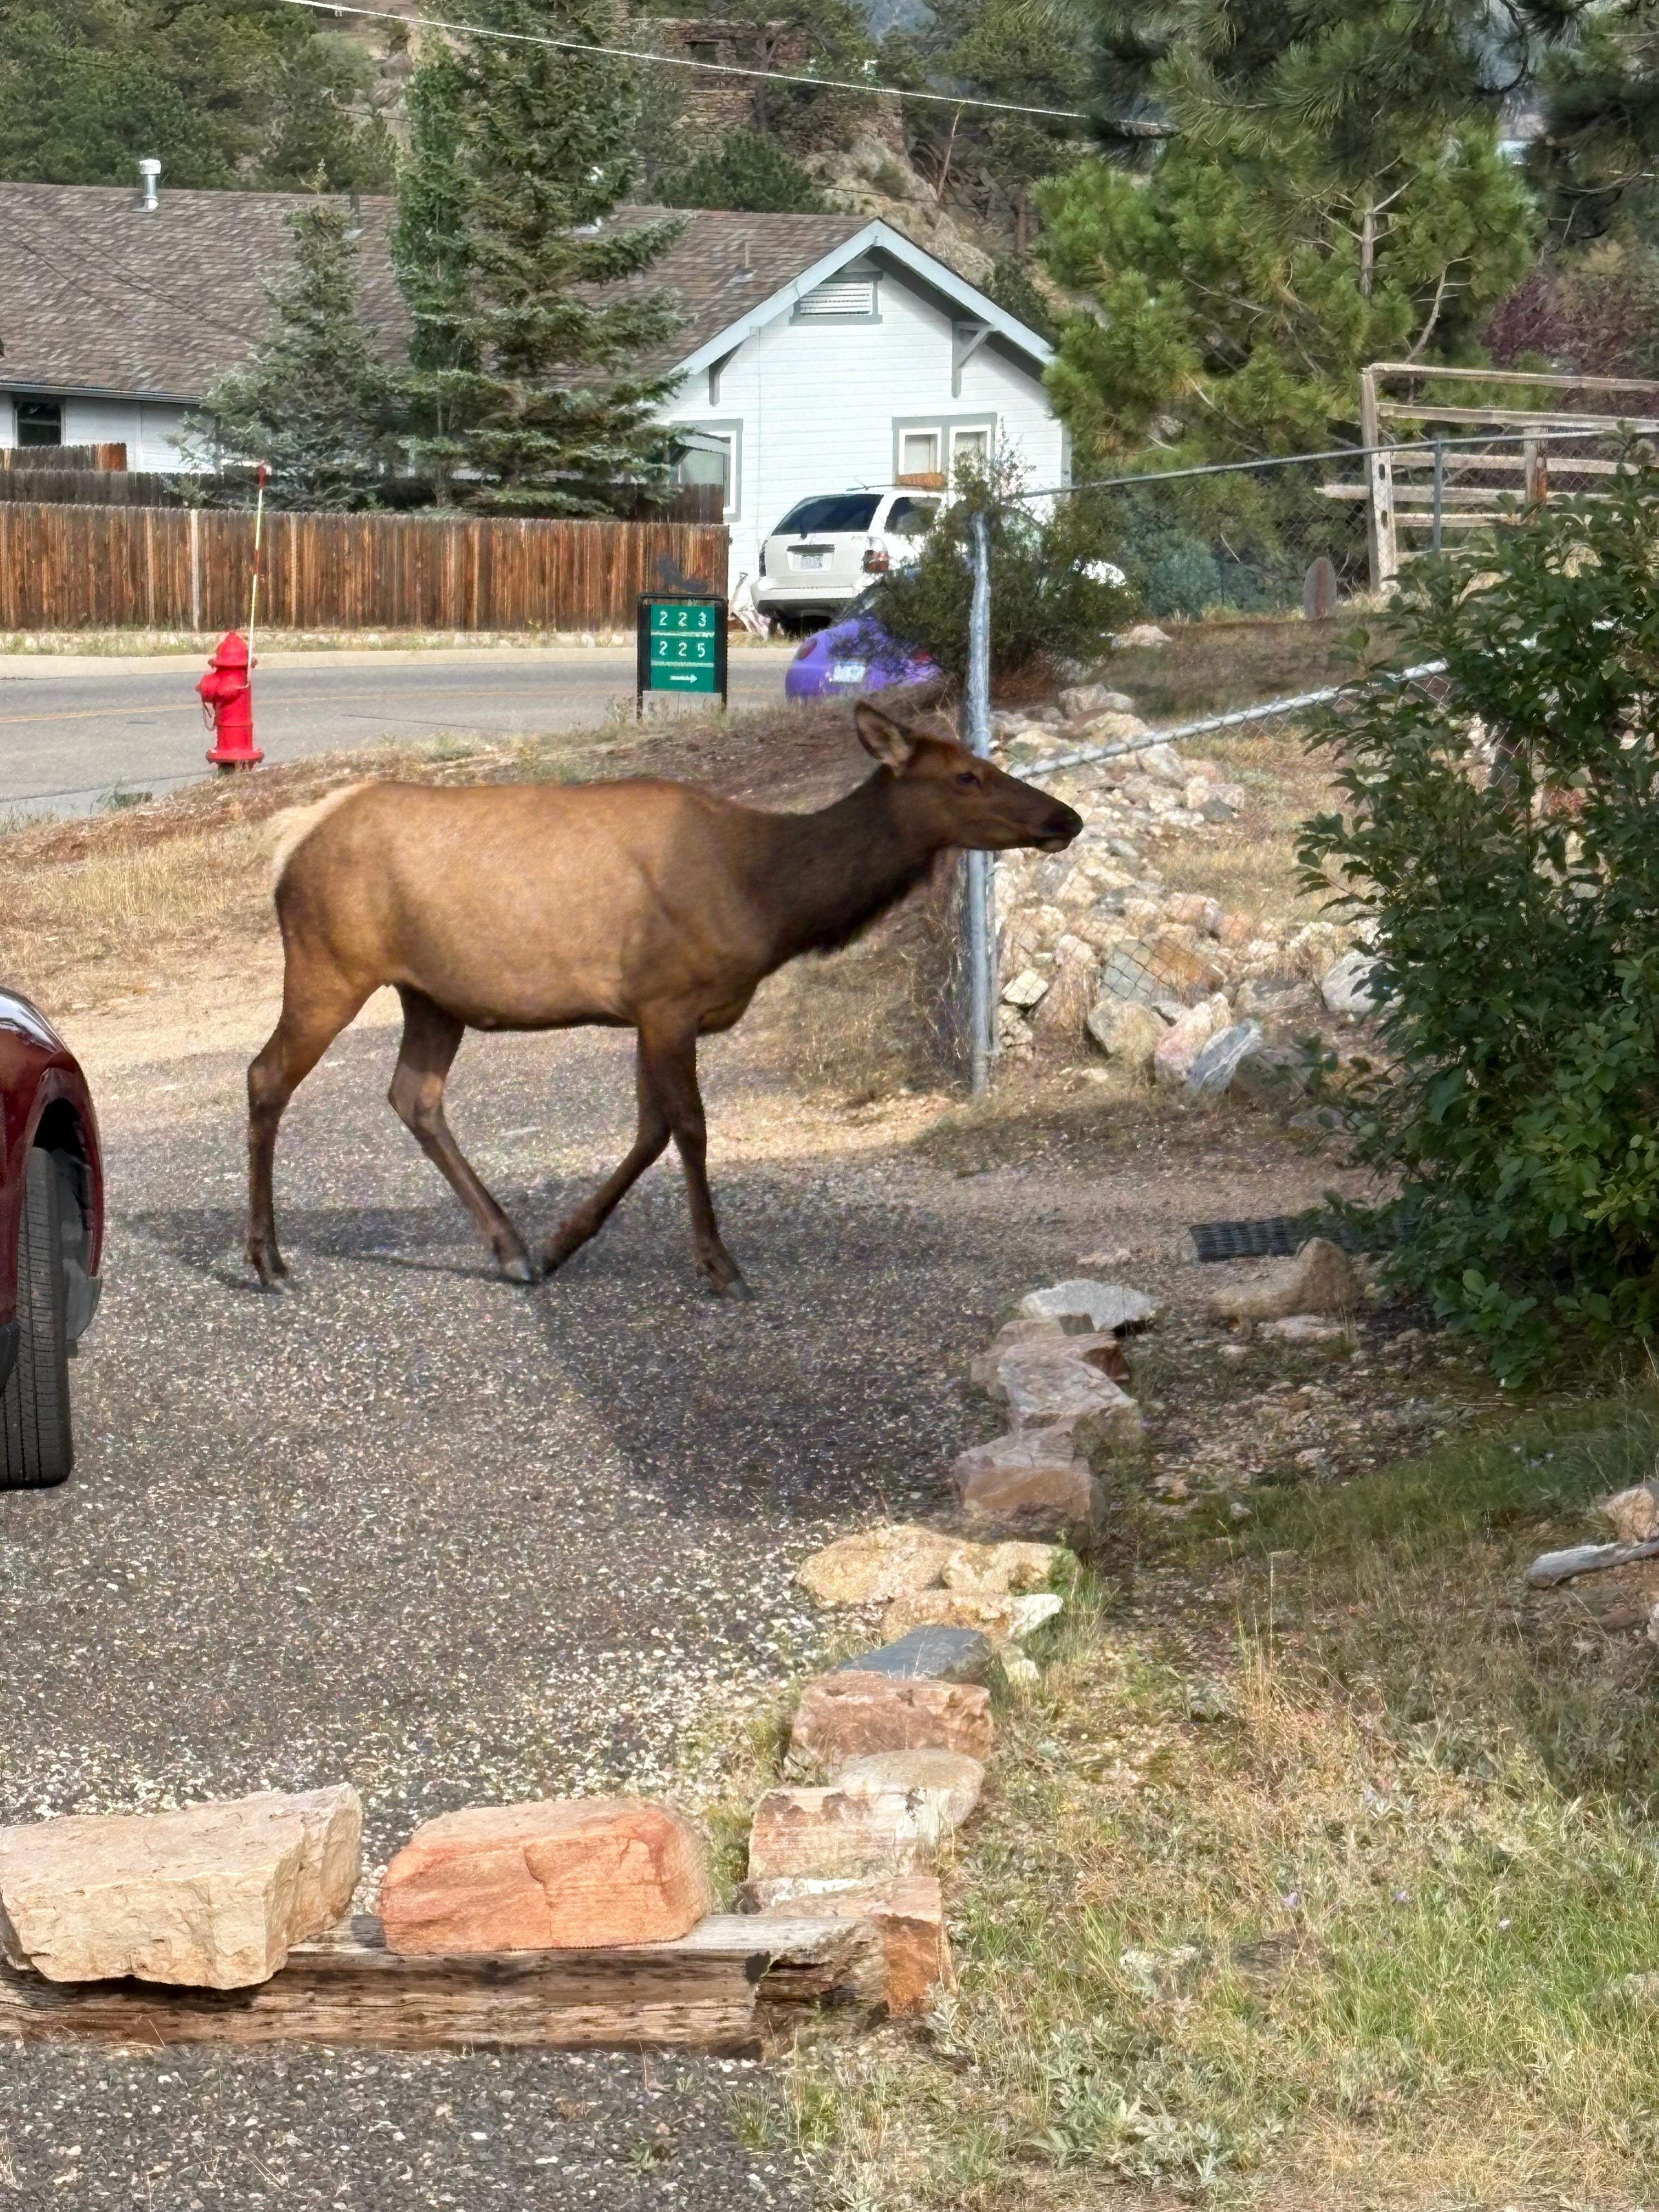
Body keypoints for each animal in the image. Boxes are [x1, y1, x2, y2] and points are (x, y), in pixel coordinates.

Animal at [245, 701, 1081, 1300]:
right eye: (966, 777)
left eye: (985, 763)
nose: (1064, 818)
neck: (772, 901)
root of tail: (288, 847)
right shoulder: (670, 1000)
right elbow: (691, 1128)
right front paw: (721, 1264)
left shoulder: (650, 1011)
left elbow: (650, 1131)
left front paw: (562, 1242)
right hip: (329, 962)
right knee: (267, 1077)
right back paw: (269, 1259)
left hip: (430, 993)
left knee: (413, 1095)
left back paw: (512, 1249)